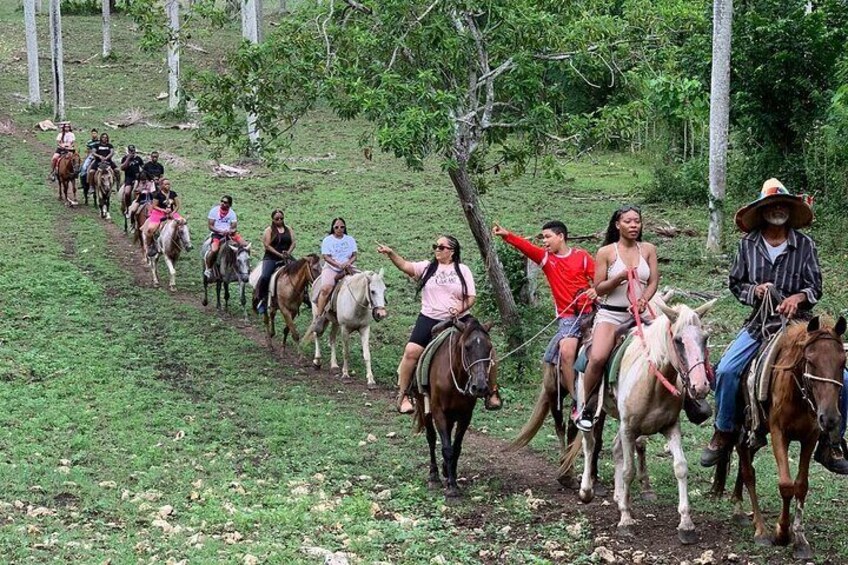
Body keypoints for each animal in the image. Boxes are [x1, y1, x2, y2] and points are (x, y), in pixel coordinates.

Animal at [412, 318, 494, 498]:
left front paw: (453, 478)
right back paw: (434, 475)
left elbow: (456, 448)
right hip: (424, 407)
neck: (454, 375)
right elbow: (447, 448)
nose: (479, 387)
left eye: (489, 348)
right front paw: (451, 488)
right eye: (467, 347)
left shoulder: (465, 415)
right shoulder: (438, 412)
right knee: (430, 437)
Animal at [564, 298, 716, 544]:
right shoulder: (629, 429)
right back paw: (587, 490)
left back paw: (618, 496)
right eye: (678, 340)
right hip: (591, 407)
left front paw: (686, 524)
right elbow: (629, 470)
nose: (700, 386)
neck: (652, 382)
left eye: (704, 338)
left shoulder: (670, 427)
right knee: (589, 444)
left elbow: (680, 467)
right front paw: (625, 520)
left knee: (615, 448)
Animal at [712, 318, 844, 560]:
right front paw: (781, 533)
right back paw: (759, 529)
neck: (798, 394)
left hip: (756, 435)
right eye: (810, 360)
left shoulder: (810, 437)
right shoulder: (778, 433)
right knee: (748, 471)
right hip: (744, 427)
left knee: (746, 464)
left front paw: (800, 540)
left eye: (842, 362)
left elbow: (801, 485)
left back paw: (741, 510)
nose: (829, 418)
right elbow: (785, 484)